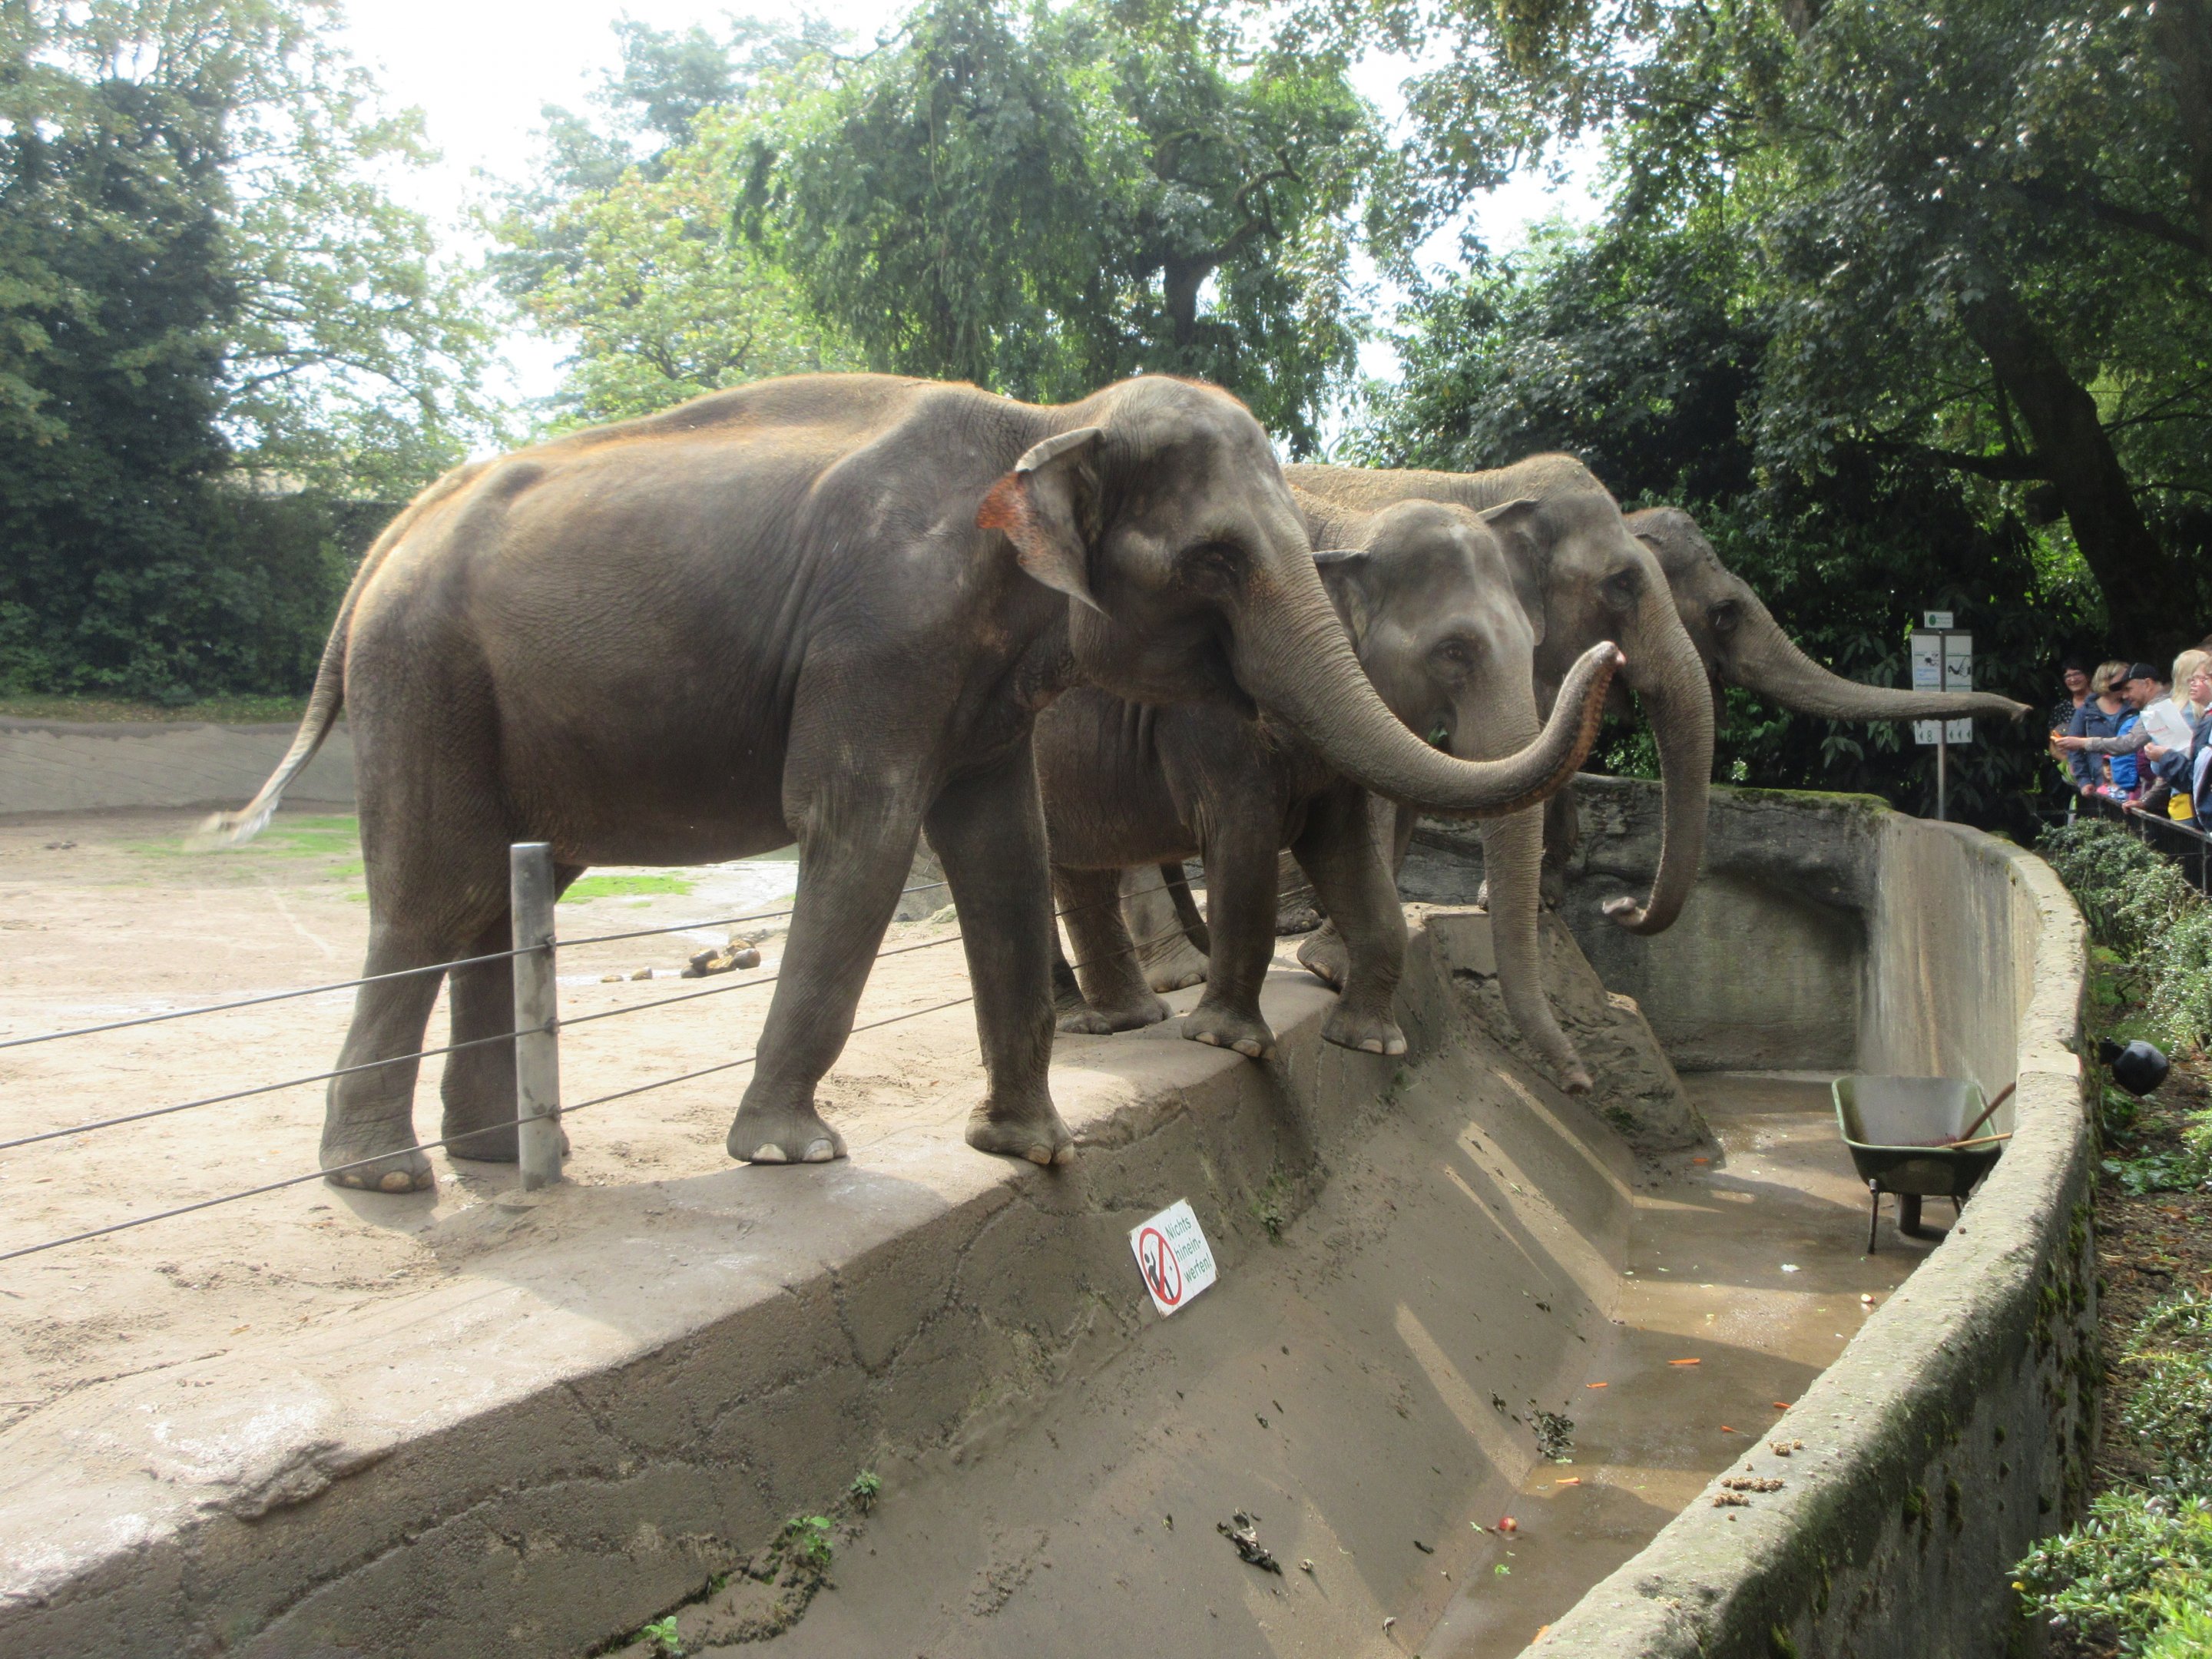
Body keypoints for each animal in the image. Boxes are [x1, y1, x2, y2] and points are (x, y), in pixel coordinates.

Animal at [1036, 494, 1617, 1076]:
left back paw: (1126, 1019)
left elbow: (1345, 846)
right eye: (1453, 651)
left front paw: (1371, 1041)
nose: (1578, 1081)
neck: (1347, 532)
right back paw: (1096, 1018)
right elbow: (1243, 847)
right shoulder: (1210, 715)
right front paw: (1231, 1041)